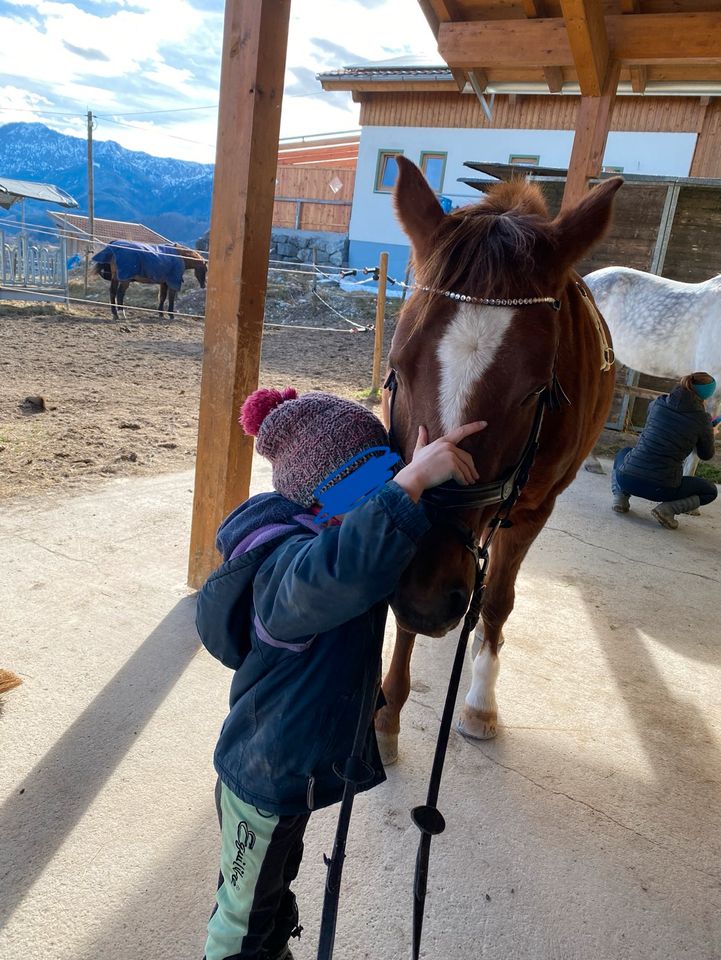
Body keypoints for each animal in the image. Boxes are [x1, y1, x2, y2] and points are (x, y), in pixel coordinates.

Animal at [374, 158, 620, 760]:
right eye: (397, 366)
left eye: (534, 391)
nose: (427, 596)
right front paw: (388, 712)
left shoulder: (533, 511)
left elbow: (498, 603)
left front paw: (480, 702)